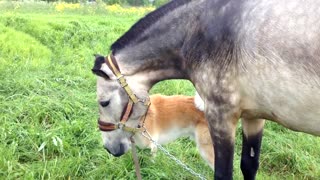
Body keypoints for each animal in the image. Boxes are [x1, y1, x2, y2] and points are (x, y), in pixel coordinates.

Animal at [91, 0, 320, 179]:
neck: (197, 31)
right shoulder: (254, 116)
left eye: (104, 102)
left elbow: (223, 173)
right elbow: (249, 165)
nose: (109, 148)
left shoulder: (220, 116)